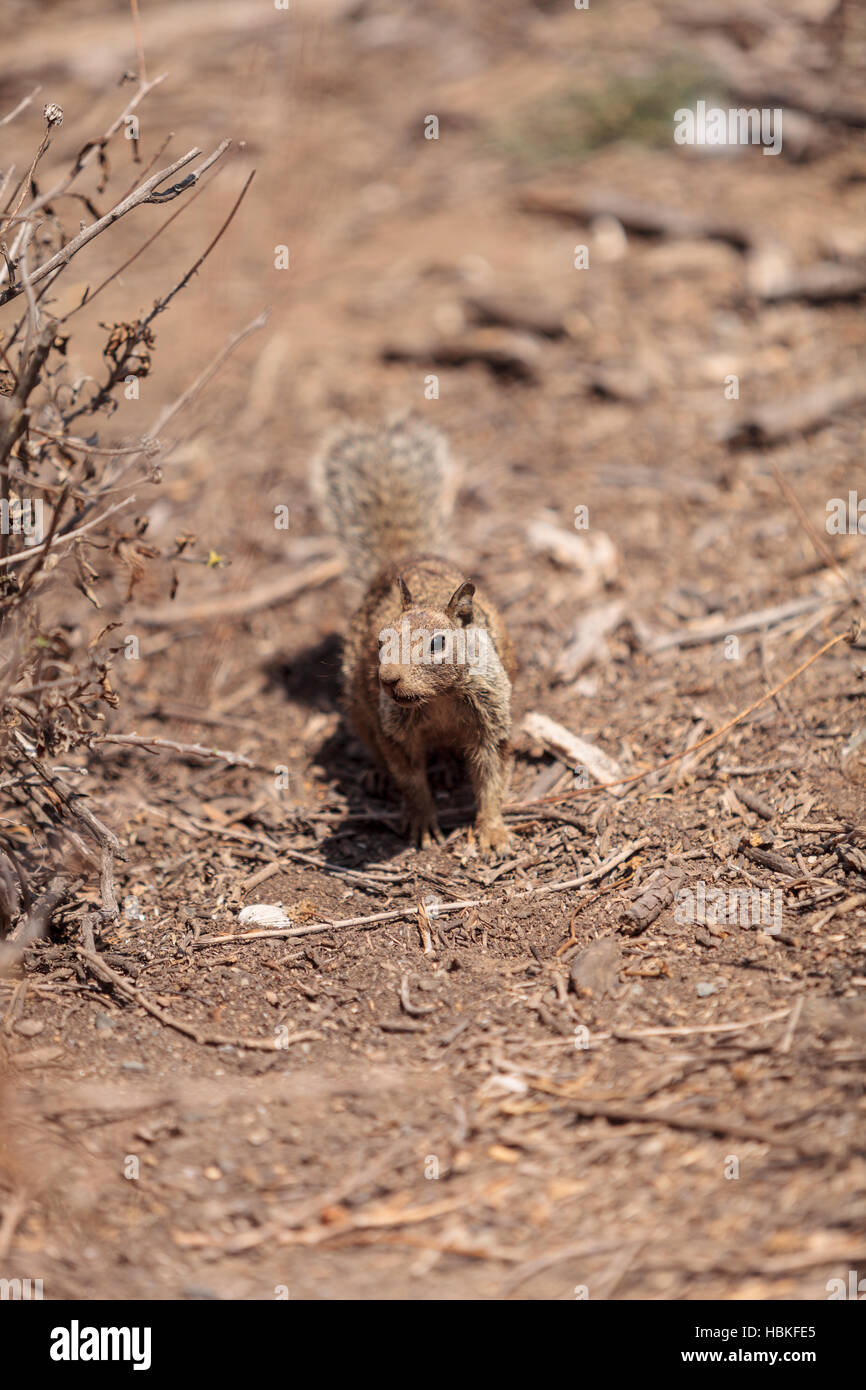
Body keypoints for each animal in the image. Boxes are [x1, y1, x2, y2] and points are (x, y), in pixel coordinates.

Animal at [315, 414, 514, 845]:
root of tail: (404, 559)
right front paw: (422, 823)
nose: (388, 679)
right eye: (379, 641)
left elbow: (491, 777)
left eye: (439, 643)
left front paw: (492, 831)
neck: (439, 699)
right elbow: (410, 779)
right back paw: (376, 775)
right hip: (358, 707)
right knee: (372, 745)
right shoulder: (395, 730)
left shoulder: (491, 719)